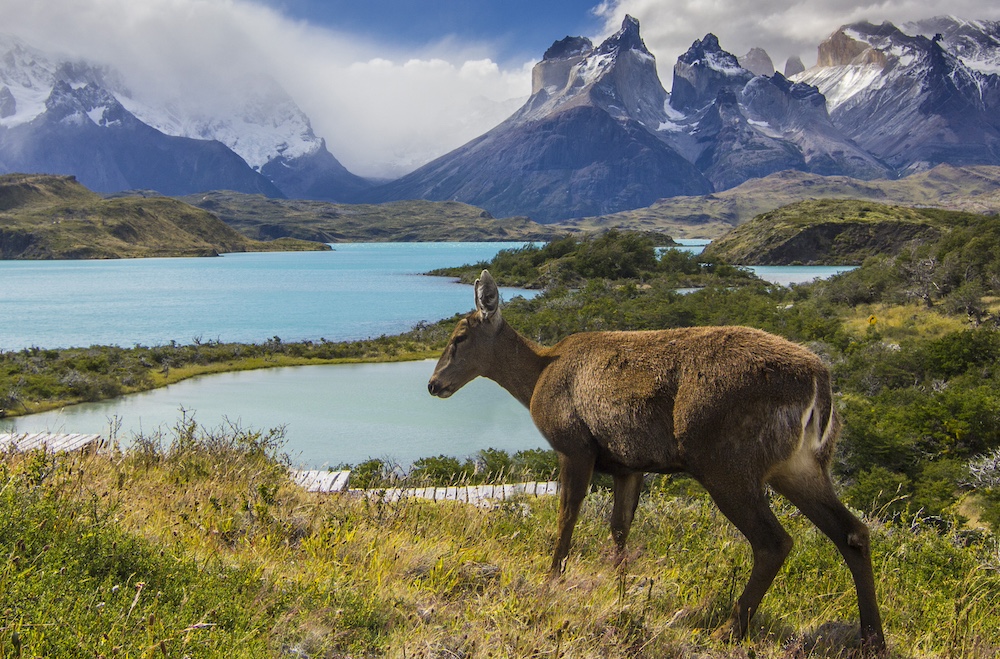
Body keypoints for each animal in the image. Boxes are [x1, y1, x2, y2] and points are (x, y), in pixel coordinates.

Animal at [426, 270, 888, 652]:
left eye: (459, 337)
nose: (433, 384)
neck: (538, 379)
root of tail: (819, 383)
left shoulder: (574, 444)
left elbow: (567, 514)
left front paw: (553, 578)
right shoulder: (630, 464)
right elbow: (619, 527)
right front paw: (620, 587)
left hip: (724, 459)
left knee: (774, 541)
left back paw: (729, 629)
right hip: (800, 464)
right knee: (853, 532)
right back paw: (872, 639)